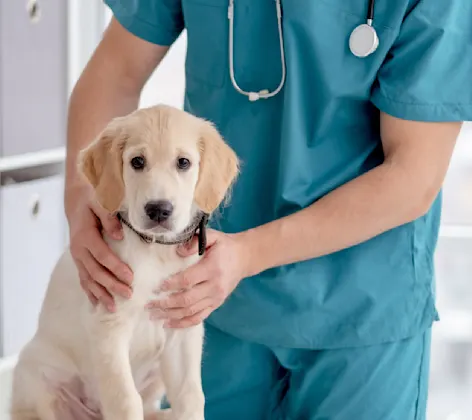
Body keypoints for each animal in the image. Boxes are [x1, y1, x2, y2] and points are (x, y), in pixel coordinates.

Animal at [10, 104, 240, 420]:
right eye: (137, 162)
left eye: (183, 162)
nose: (159, 210)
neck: (155, 251)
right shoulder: (108, 324)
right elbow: (125, 400)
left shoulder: (182, 328)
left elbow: (191, 396)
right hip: (39, 377)